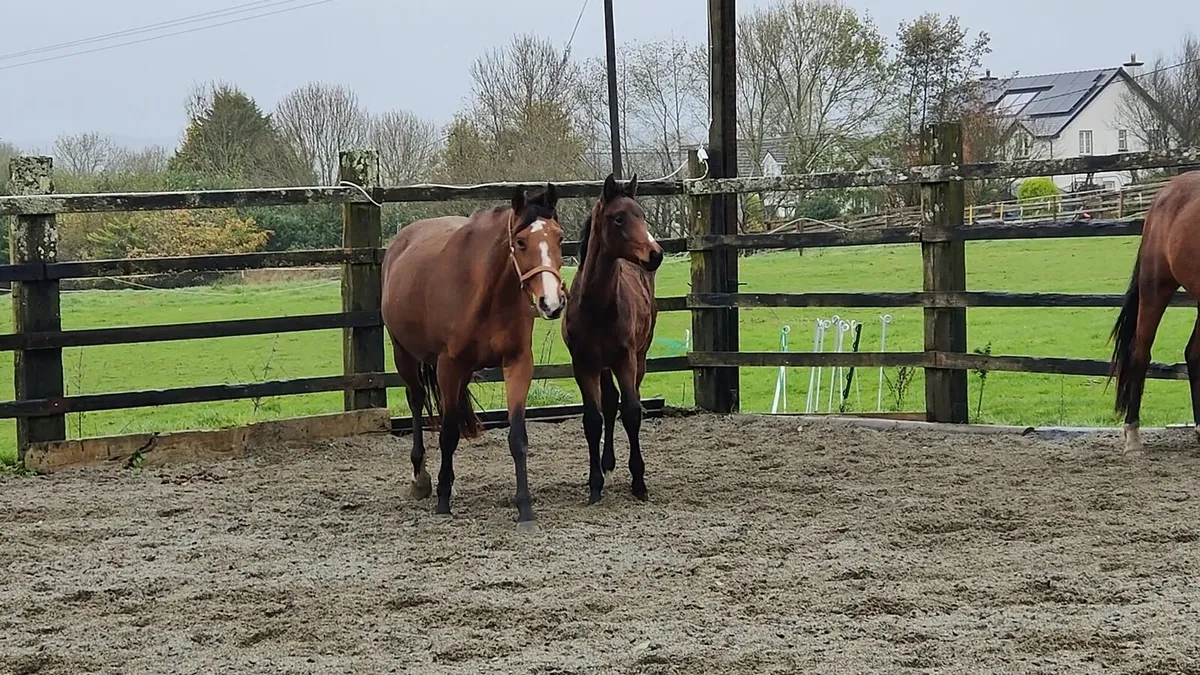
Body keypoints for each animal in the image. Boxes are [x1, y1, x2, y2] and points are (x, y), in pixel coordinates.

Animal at [381, 184, 566, 529]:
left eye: (559, 238)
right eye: (521, 242)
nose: (551, 302)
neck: (487, 293)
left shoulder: (517, 363)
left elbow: (517, 437)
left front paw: (525, 508)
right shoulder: (448, 365)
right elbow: (448, 435)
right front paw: (442, 500)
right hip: (405, 354)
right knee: (416, 400)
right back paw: (421, 478)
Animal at [562, 173, 664, 504]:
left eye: (642, 214)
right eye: (619, 218)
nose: (655, 254)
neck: (597, 306)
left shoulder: (625, 358)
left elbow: (631, 412)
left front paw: (639, 483)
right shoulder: (583, 364)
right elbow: (592, 419)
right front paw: (594, 485)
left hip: (639, 357)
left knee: (628, 400)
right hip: (603, 365)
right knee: (608, 403)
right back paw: (606, 463)